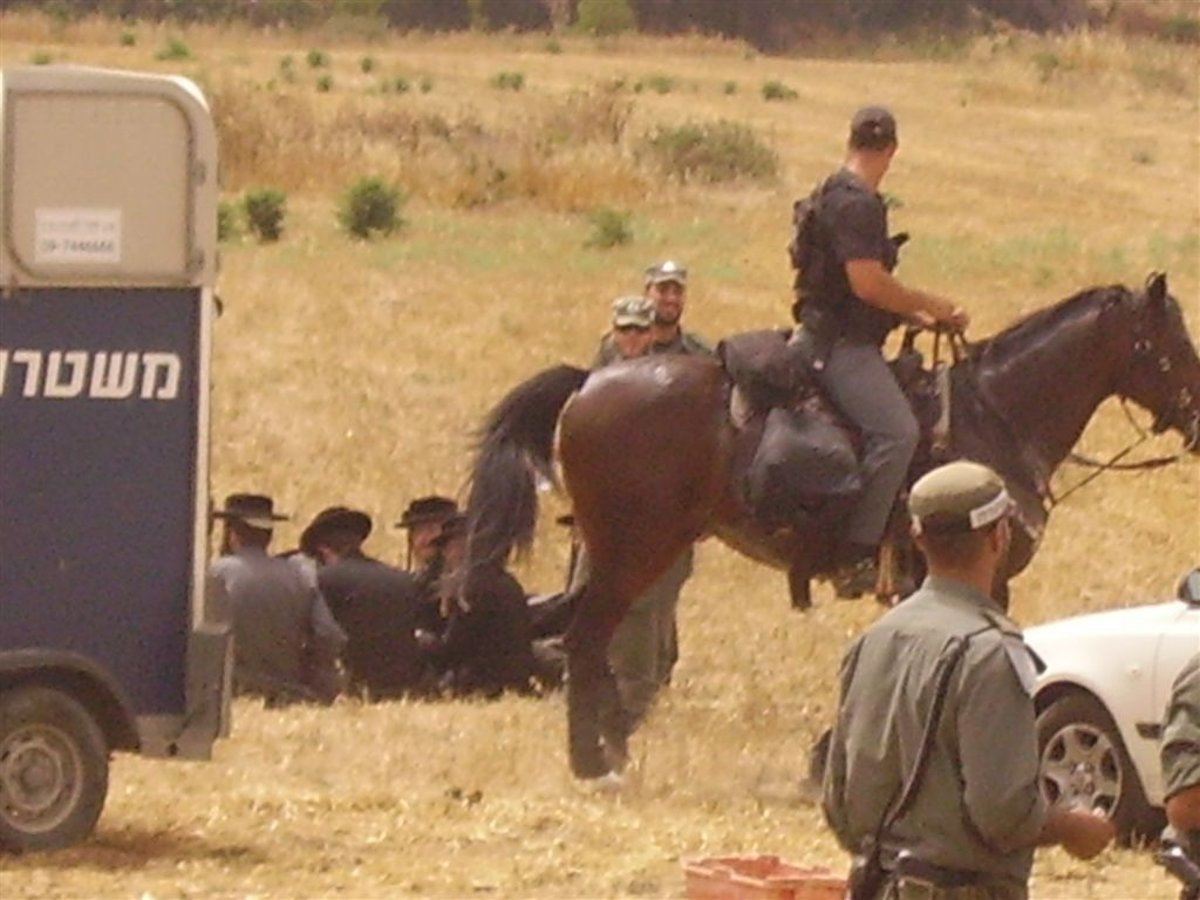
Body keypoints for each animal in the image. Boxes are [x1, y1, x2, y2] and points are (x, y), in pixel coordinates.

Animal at [460, 274, 1200, 782]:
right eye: (1174, 344)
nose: (1198, 419)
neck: (995, 416)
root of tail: (590, 383)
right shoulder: (978, 581)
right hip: (633, 550)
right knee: (586, 640)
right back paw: (597, 761)